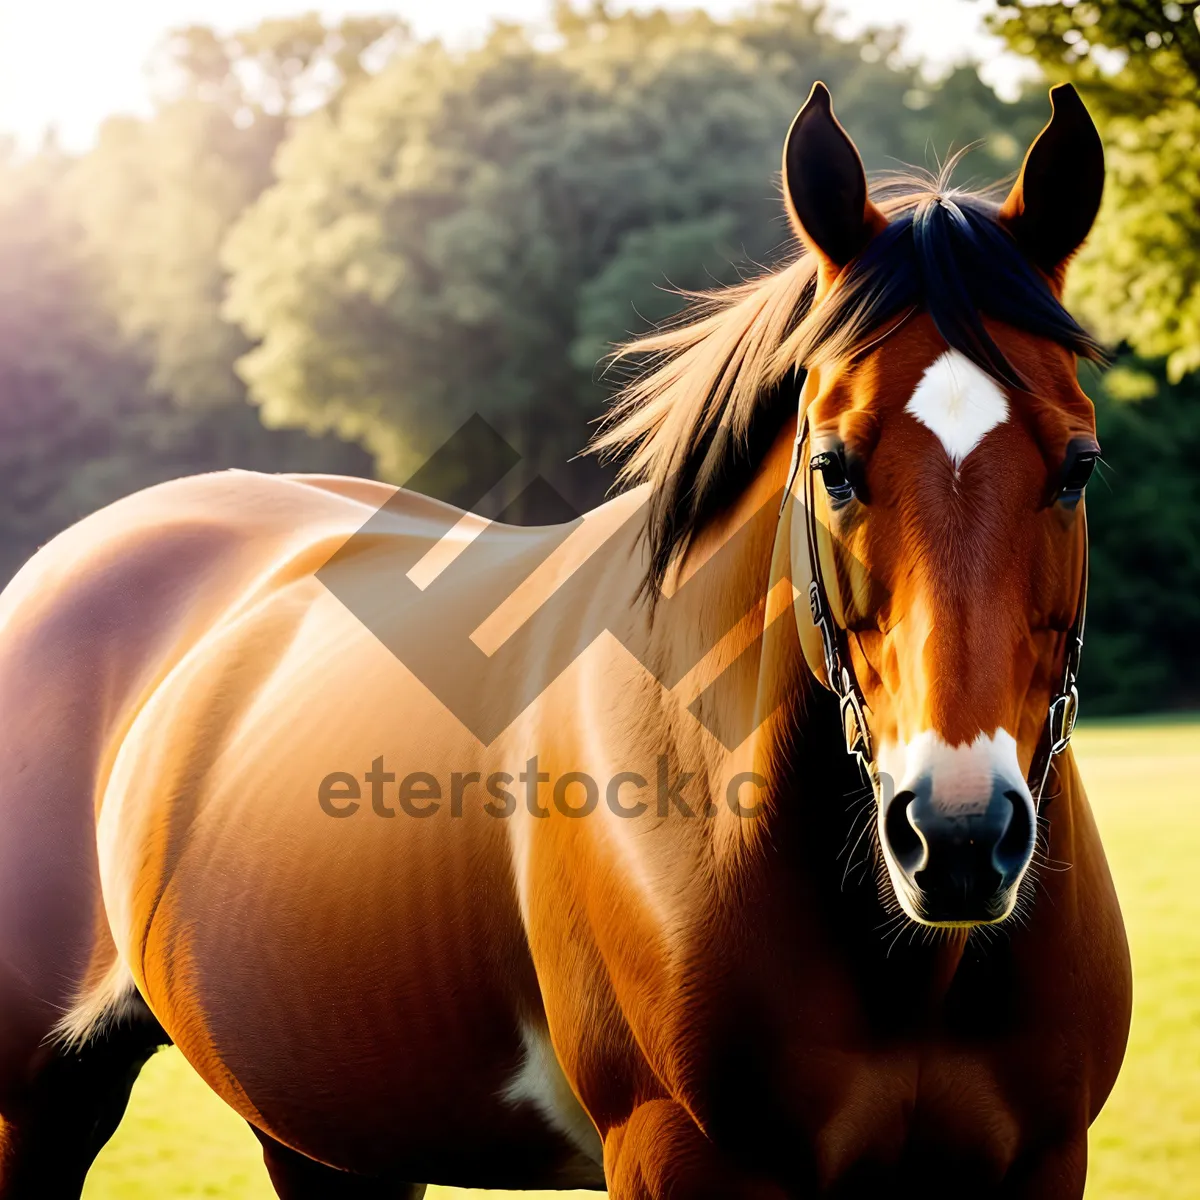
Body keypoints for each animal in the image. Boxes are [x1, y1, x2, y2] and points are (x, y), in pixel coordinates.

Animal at [0, 79, 1128, 1195]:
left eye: (1077, 467)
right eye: (834, 468)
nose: (958, 836)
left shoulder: (1043, 1163)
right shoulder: (675, 1156)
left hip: (329, 1133)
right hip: (41, 1106)